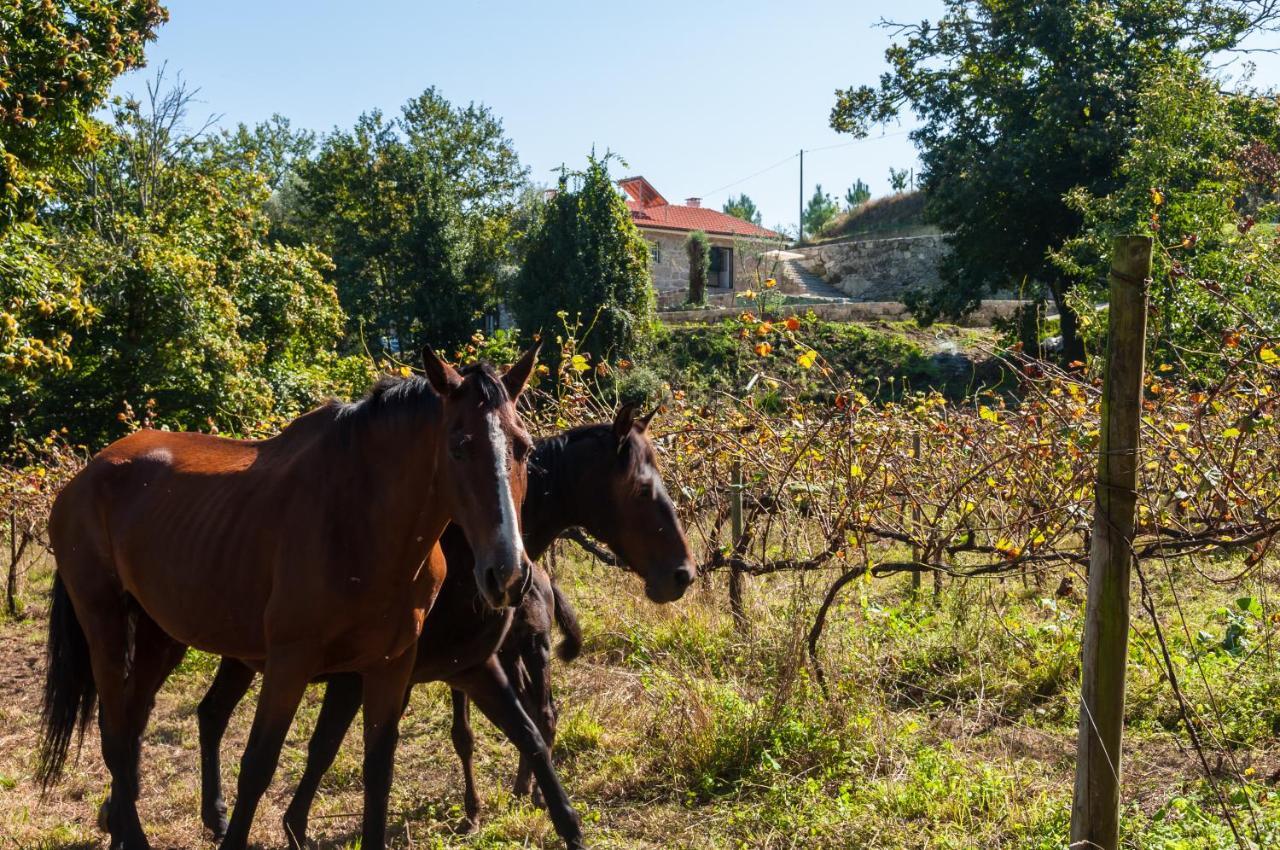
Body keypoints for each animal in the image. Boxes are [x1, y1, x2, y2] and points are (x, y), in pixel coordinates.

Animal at [40, 348, 537, 850]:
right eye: (458, 446)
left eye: (524, 448)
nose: (507, 573)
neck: (359, 521)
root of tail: (86, 476)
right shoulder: (289, 662)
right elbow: (258, 765)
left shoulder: (390, 665)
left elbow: (378, 769)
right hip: (104, 626)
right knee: (114, 733)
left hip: (160, 636)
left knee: (133, 722)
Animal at [186, 401, 701, 844]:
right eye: (642, 489)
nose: (682, 573)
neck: (457, 550)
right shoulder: (365, 676)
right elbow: (327, 747)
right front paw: (295, 825)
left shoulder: (444, 669)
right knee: (213, 713)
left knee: (212, 712)